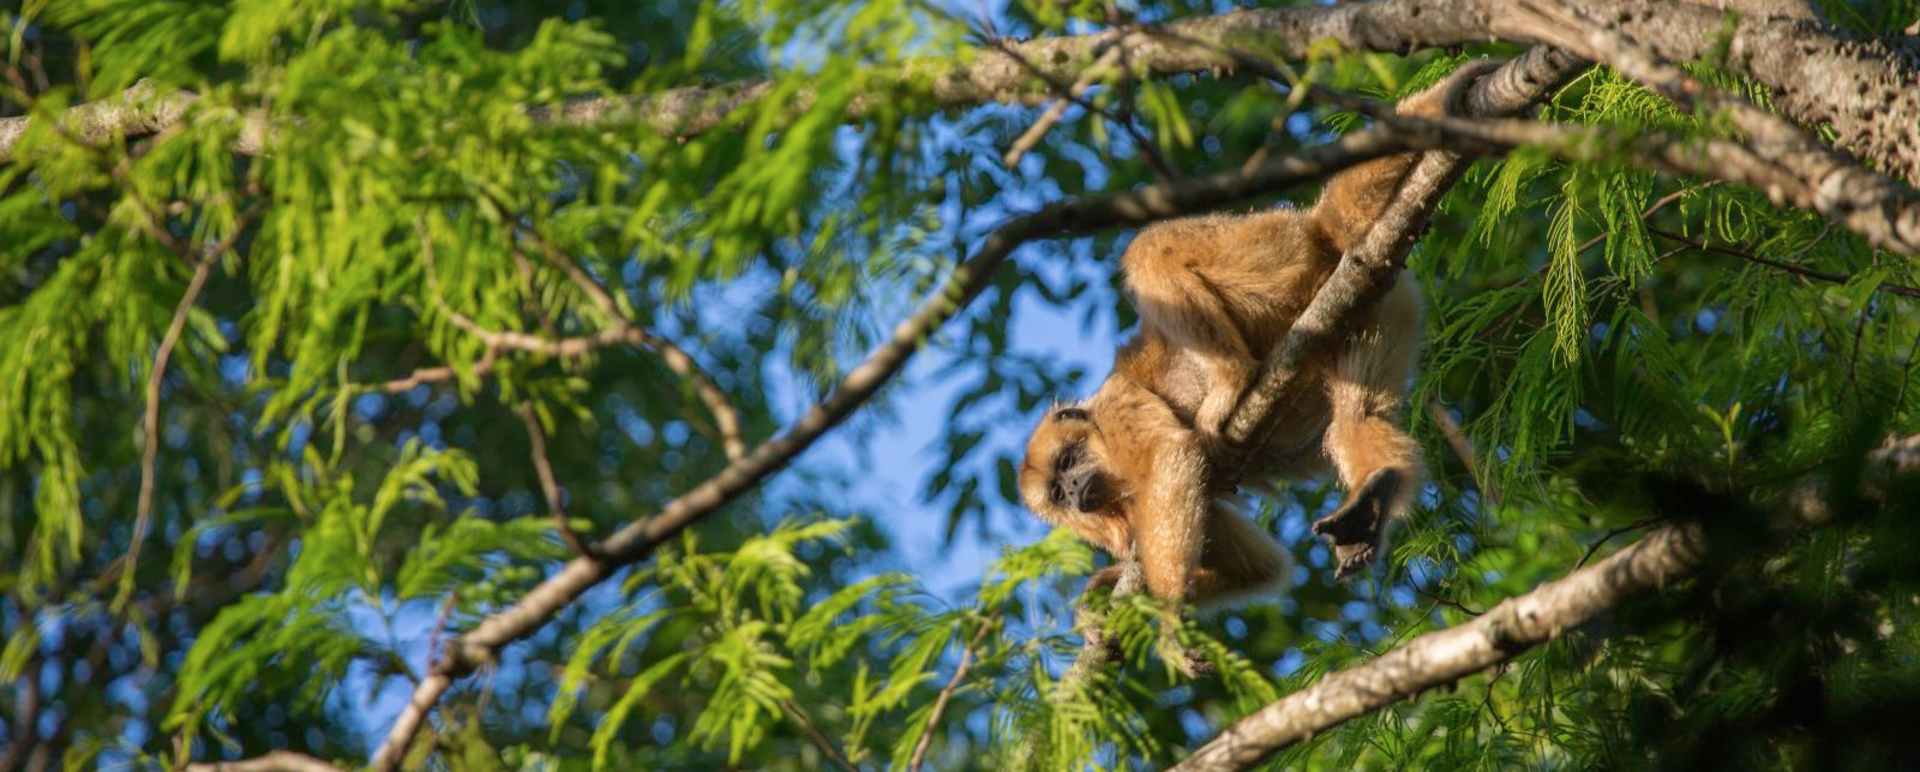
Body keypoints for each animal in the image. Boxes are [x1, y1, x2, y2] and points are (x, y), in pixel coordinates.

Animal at [1019, 62, 1497, 609]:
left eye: (1069, 460)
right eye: (1058, 494)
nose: (1076, 490)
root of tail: (1321, 238)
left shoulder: (1122, 408)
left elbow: (1169, 456)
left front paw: (1165, 609)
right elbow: (1261, 569)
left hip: (1265, 255)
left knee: (1150, 246)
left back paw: (1232, 382)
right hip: (1380, 307)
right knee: (1357, 416)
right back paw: (1372, 494)